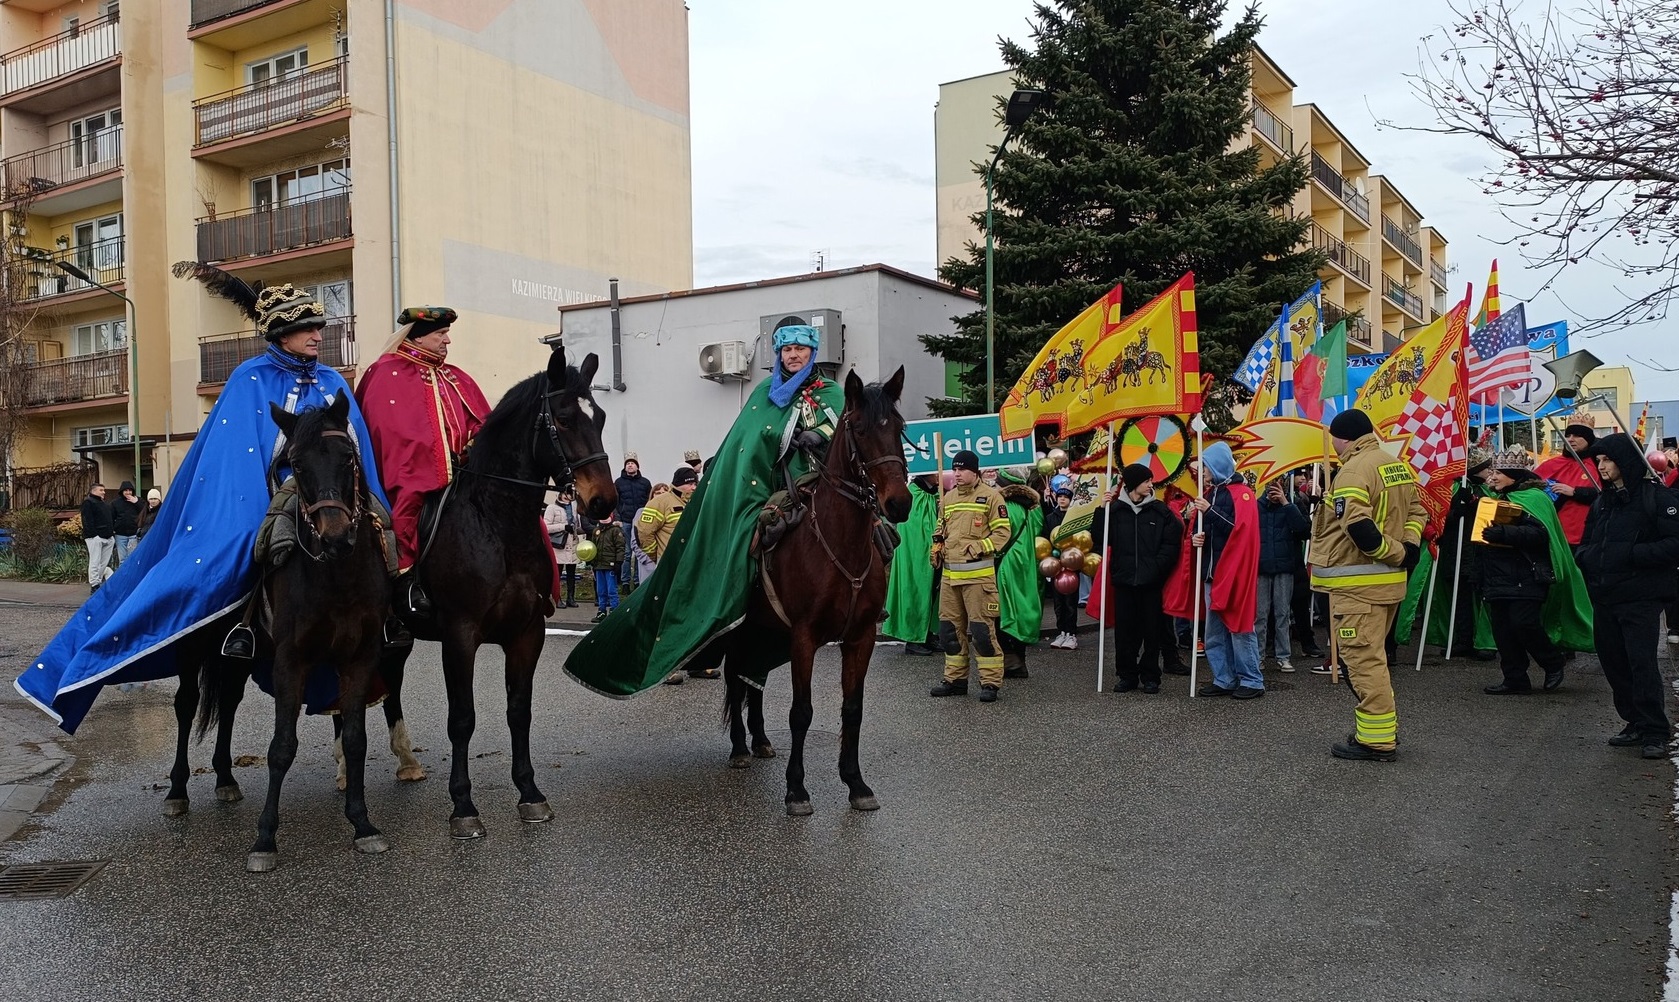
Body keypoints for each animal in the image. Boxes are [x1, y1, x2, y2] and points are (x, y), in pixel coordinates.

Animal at [384, 342, 614, 835]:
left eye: (601, 416)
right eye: (564, 418)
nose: (604, 501)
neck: (496, 524)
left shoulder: (526, 633)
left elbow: (518, 711)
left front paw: (529, 793)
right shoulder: (460, 636)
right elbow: (462, 718)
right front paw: (463, 805)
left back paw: (405, 763)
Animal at [718, 365, 906, 812]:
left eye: (900, 428)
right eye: (859, 428)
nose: (900, 503)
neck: (841, 546)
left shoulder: (861, 636)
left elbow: (852, 709)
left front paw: (856, 783)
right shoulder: (804, 636)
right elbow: (801, 712)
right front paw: (796, 789)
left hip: (764, 630)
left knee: (753, 678)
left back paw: (761, 740)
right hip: (740, 628)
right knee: (735, 676)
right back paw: (739, 748)